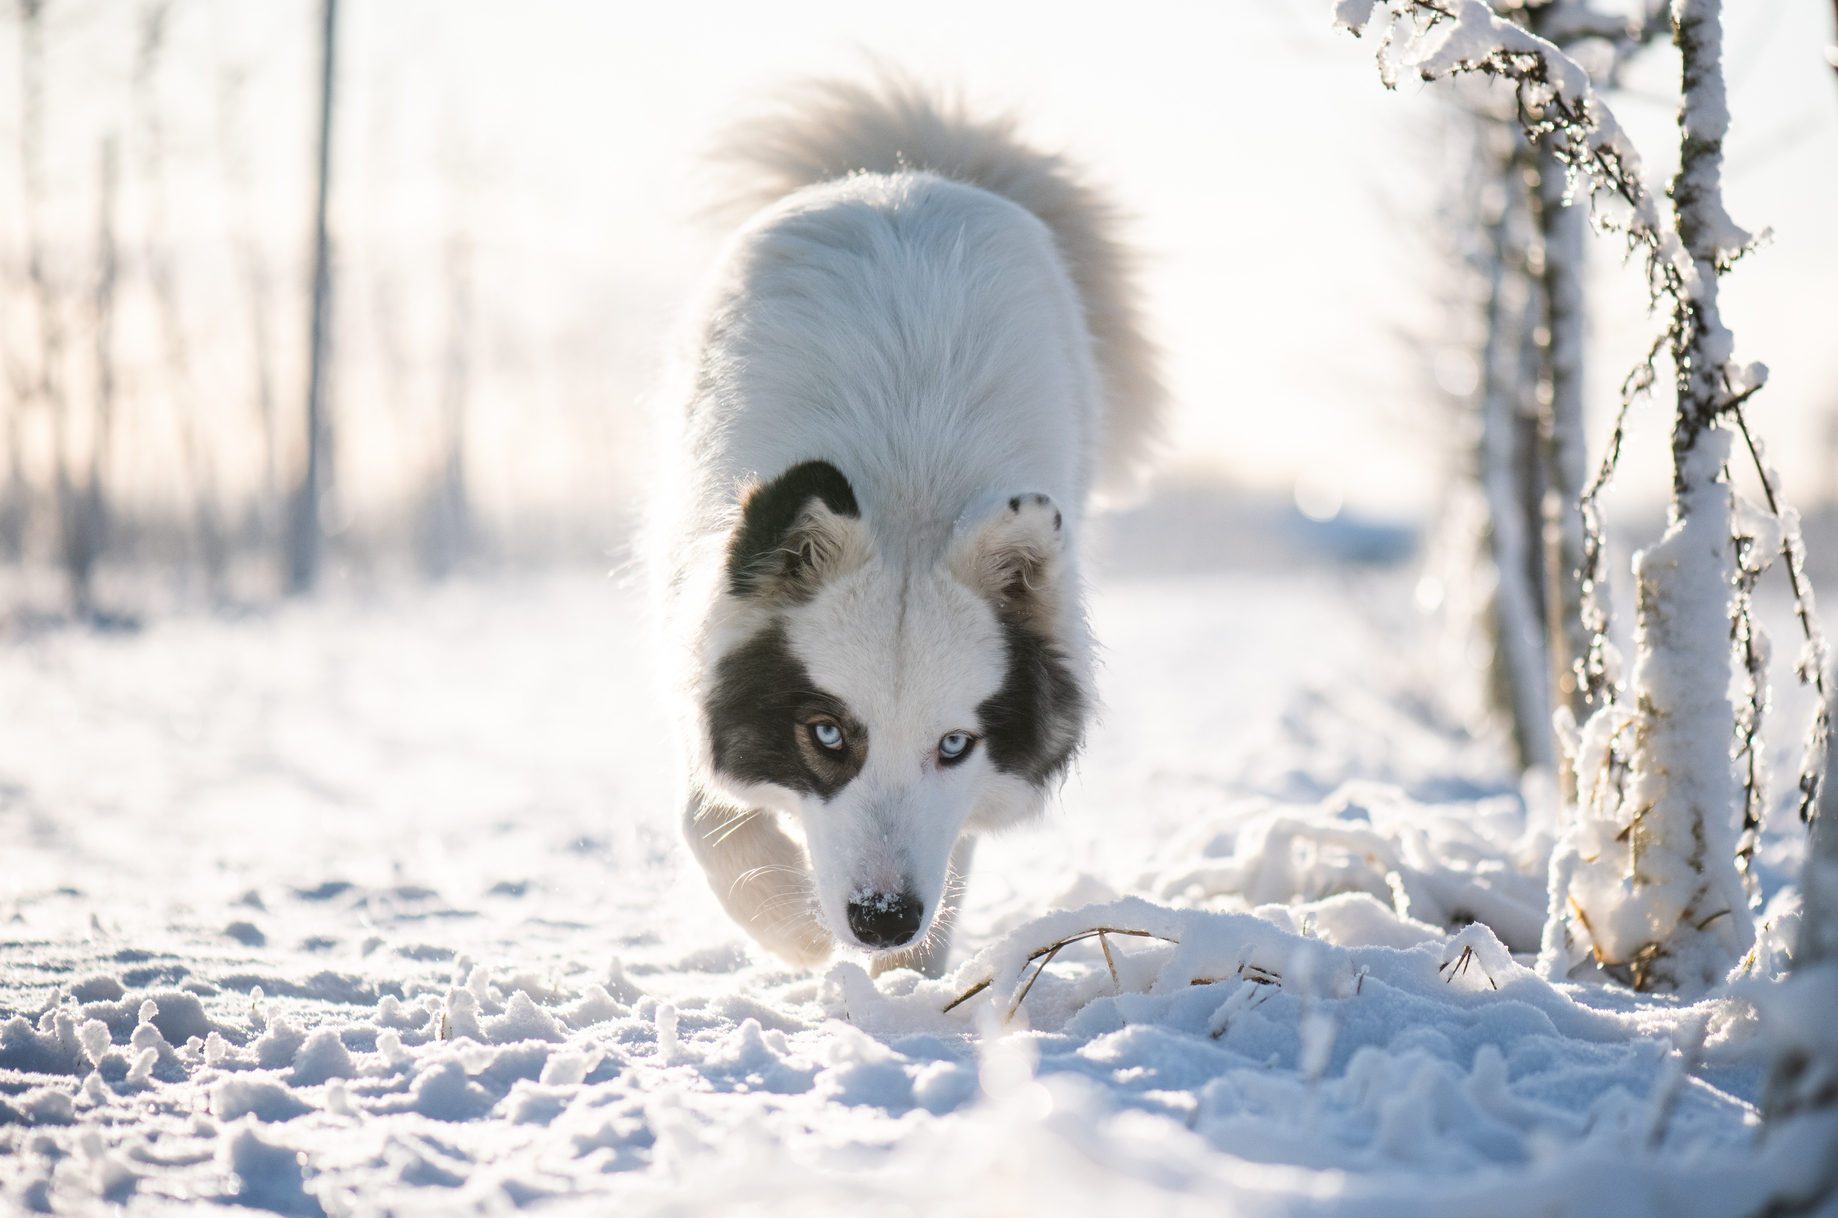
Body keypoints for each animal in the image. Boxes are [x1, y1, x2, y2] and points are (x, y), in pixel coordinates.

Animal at [654, 76, 1154, 977]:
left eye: (953, 745)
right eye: (826, 733)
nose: (884, 919)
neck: (907, 502)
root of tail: (906, 171)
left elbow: (952, 850)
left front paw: (905, 985)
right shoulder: (698, 629)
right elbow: (710, 818)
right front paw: (790, 924)